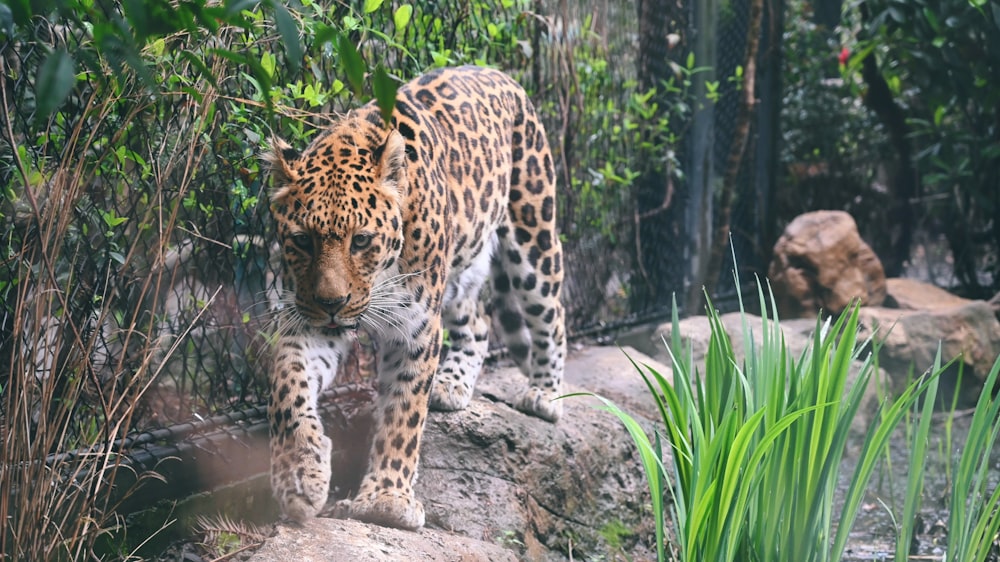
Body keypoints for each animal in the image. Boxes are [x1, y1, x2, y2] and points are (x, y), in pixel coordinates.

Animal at [262, 65, 568, 528]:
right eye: (302, 240)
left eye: (361, 240)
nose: (332, 304)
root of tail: (499, 74)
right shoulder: (307, 320)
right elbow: (289, 388)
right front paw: (299, 475)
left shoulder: (416, 329)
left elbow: (403, 414)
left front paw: (387, 499)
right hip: (459, 275)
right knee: (478, 324)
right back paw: (452, 384)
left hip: (534, 237)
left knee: (553, 313)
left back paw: (545, 395)